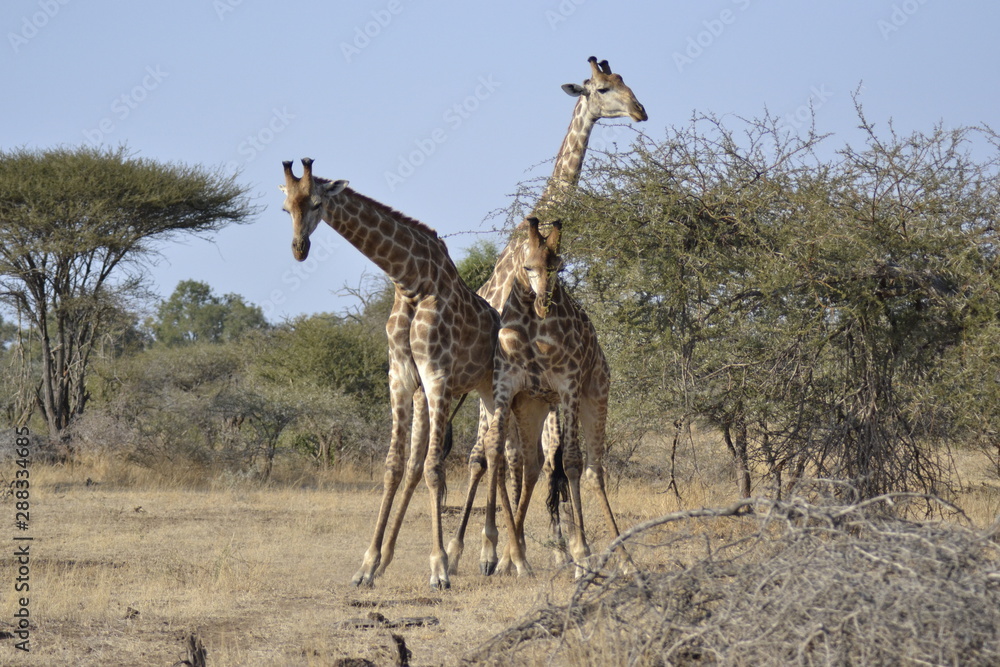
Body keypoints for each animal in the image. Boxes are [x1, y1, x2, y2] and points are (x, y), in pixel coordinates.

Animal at [280, 158, 498, 589]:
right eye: (286, 208)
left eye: (316, 203)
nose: (299, 250)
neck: (411, 281)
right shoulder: (401, 378)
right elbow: (396, 466)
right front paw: (368, 565)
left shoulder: (437, 375)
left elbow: (434, 468)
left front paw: (438, 568)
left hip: (497, 388)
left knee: (503, 455)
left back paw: (500, 556)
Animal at [447, 56, 647, 577]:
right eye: (601, 89)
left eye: (626, 82)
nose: (640, 111)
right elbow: (505, 459)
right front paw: (497, 551)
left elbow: (548, 463)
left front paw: (552, 549)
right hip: (487, 395)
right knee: (483, 456)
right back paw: (469, 551)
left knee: (522, 459)